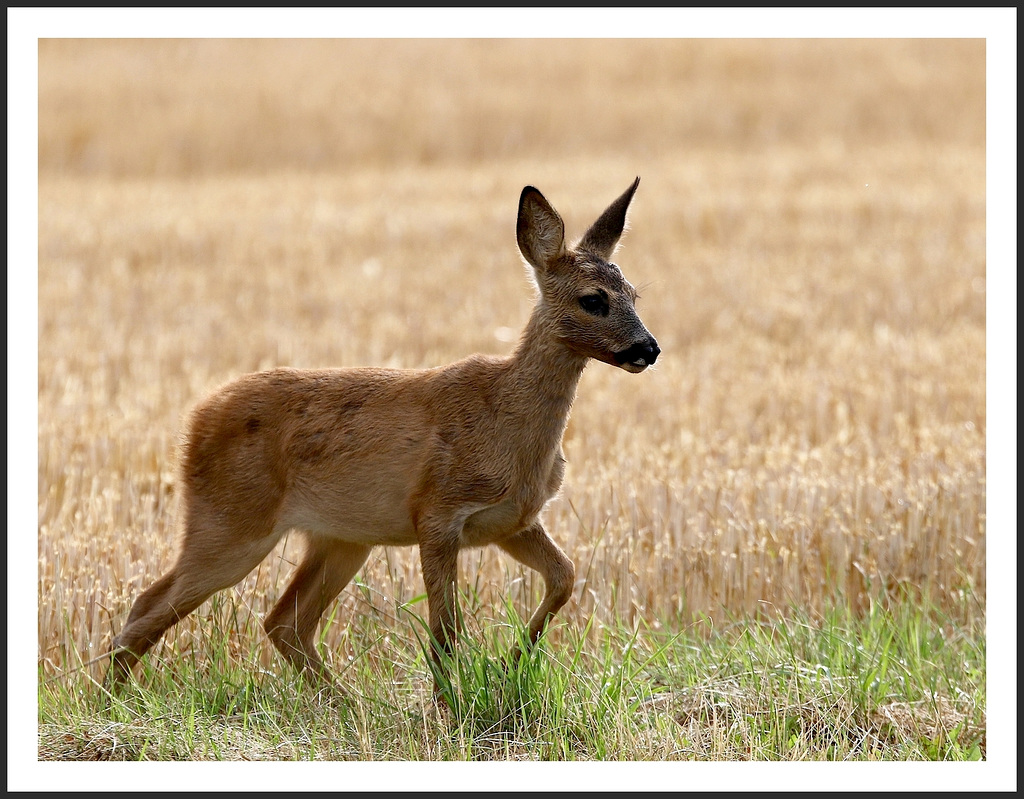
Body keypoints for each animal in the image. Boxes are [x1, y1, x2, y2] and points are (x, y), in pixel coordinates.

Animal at [108, 178, 659, 696]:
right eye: (593, 300)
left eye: (634, 295)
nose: (648, 349)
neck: (509, 423)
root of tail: (193, 424)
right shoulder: (437, 511)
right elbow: (446, 631)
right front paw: (449, 706)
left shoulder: (513, 520)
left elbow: (564, 575)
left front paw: (510, 665)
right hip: (231, 522)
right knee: (147, 606)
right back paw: (111, 701)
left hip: (340, 538)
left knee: (284, 621)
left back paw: (348, 704)